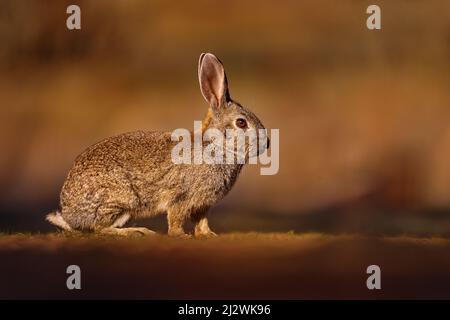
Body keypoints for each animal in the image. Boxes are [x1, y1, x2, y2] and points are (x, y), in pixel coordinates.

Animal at [46, 53, 268, 238]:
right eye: (241, 123)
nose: (267, 143)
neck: (215, 146)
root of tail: (69, 214)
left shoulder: (203, 204)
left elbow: (201, 221)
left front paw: (208, 235)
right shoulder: (181, 197)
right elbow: (176, 218)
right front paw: (181, 236)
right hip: (121, 198)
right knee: (100, 228)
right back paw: (138, 231)